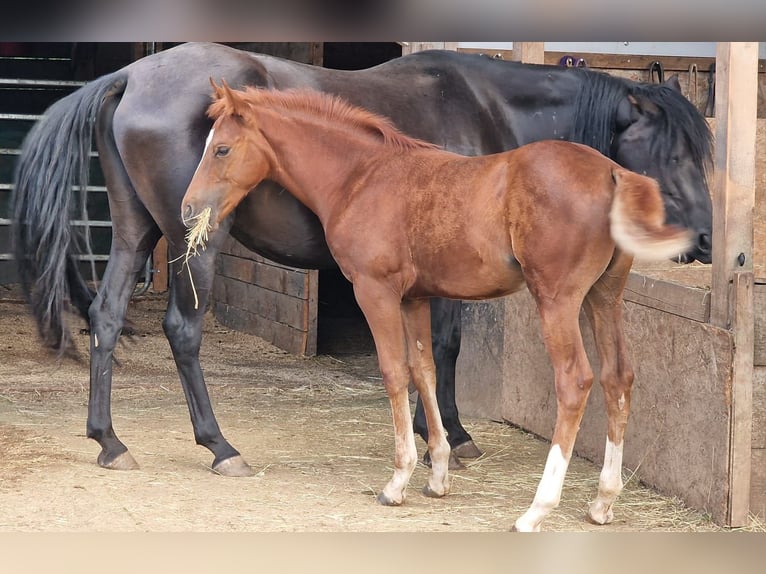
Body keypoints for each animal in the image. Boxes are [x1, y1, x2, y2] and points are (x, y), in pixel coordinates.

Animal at [12, 42, 716, 480]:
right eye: (674, 153)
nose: (706, 240)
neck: (487, 109)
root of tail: (132, 77)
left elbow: (424, 355)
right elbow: (443, 349)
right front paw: (448, 437)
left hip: (136, 234)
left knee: (105, 320)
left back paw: (109, 441)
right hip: (196, 240)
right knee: (182, 331)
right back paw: (219, 446)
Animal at [182, 83, 696, 532]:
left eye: (221, 149)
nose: (188, 209)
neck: (361, 177)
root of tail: (613, 172)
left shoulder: (375, 291)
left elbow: (393, 372)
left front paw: (398, 481)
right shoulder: (415, 298)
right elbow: (424, 370)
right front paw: (437, 475)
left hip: (557, 298)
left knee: (575, 381)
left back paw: (536, 510)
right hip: (604, 297)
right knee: (618, 377)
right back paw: (602, 503)